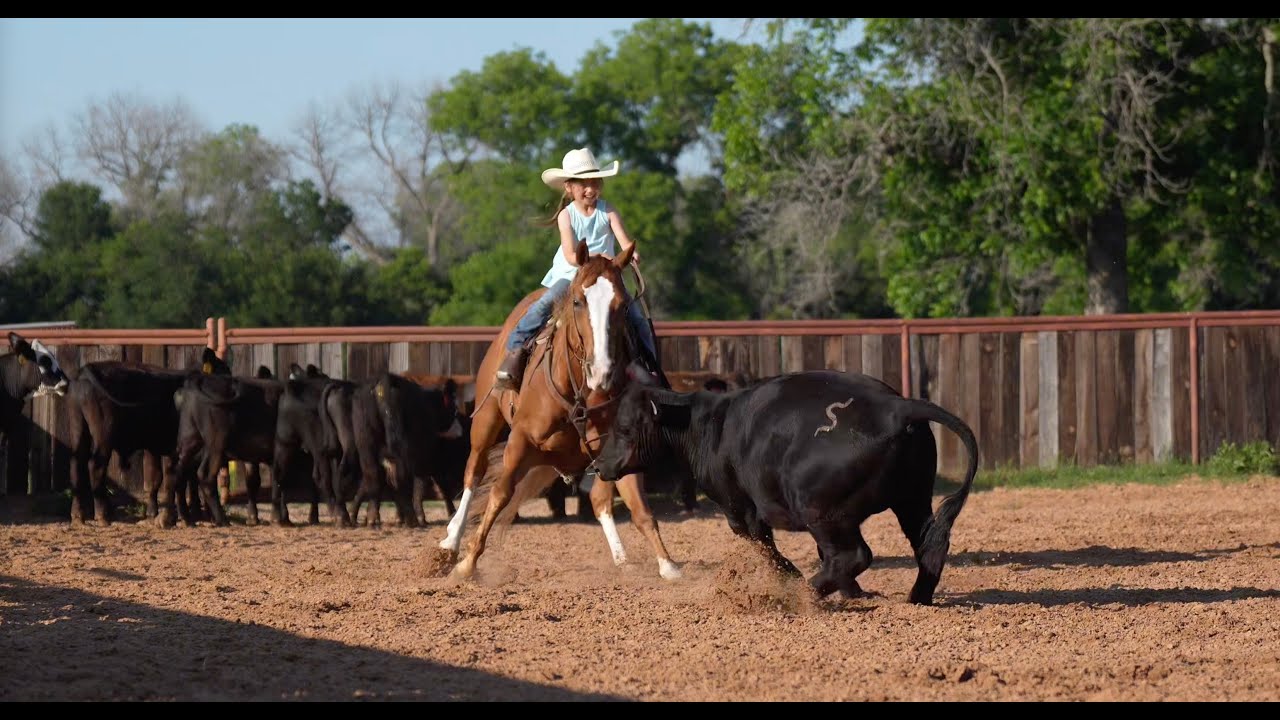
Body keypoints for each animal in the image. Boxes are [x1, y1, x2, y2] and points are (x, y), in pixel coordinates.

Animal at [65, 348, 230, 526]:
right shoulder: (177, 448)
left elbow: (156, 478)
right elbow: (177, 479)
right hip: (103, 434)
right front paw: (182, 515)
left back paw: (78, 515)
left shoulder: (154, 446)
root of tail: (85, 370)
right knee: (96, 466)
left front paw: (154, 512)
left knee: (76, 465)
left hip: (78, 427)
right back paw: (103, 515)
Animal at [437, 240, 682, 581]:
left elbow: (639, 508)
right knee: (474, 472)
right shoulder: (520, 440)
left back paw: (622, 559)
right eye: (578, 301)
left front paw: (667, 563)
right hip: (486, 421)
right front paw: (467, 563)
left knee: (600, 500)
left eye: (622, 305)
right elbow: (499, 494)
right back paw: (450, 541)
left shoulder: (620, 447)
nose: (601, 370)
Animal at [595, 370, 979, 606]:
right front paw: (854, 593)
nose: (598, 465)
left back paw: (803, 595)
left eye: (625, 428)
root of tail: (896, 407)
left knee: (852, 555)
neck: (709, 425)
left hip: (822, 512)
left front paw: (791, 580)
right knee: (927, 546)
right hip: (911, 500)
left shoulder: (741, 512)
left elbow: (766, 548)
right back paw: (917, 598)